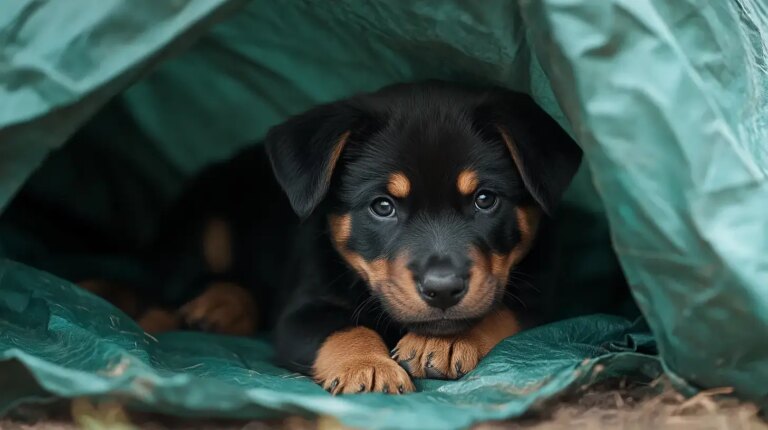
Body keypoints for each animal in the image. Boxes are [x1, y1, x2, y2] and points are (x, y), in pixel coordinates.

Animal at [82, 80, 584, 394]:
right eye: (382, 206)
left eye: (485, 200)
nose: (442, 290)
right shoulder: (301, 309)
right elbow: (343, 327)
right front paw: (369, 366)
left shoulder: (541, 295)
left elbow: (500, 310)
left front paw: (442, 341)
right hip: (204, 227)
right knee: (162, 288)